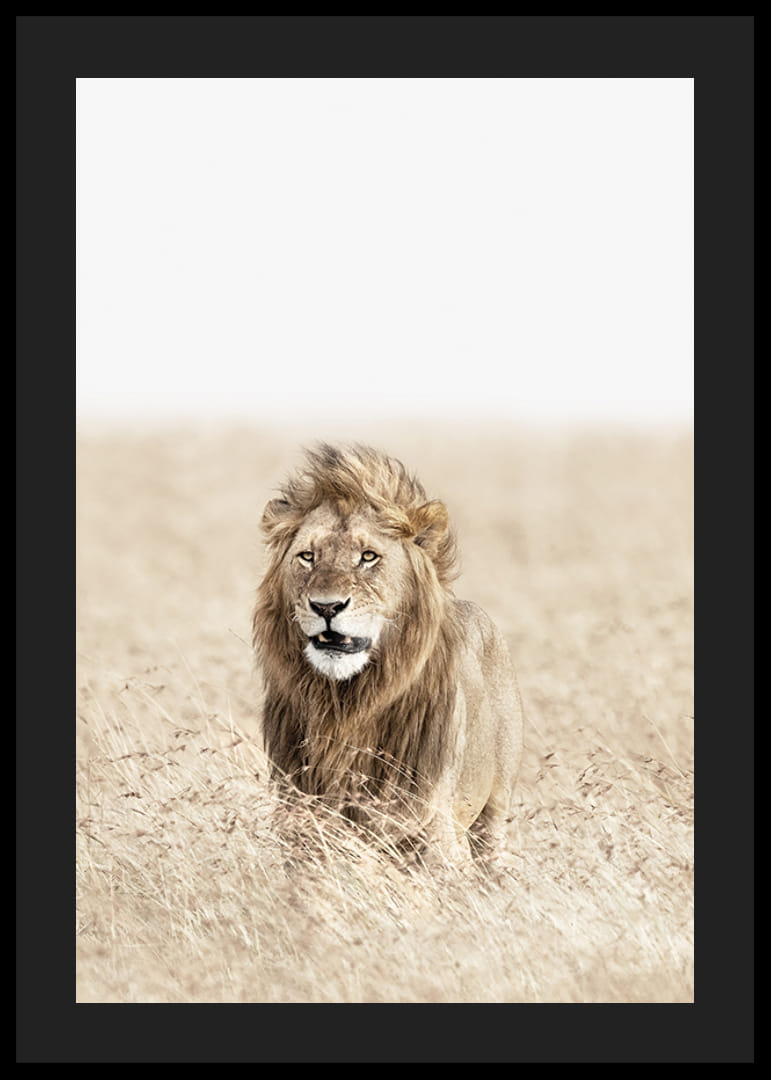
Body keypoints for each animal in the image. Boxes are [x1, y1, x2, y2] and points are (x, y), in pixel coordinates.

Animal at [252, 443, 524, 866]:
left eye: (368, 556)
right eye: (308, 556)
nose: (326, 606)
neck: (345, 705)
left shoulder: (433, 830)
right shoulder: (300, 822)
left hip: (495, 811)